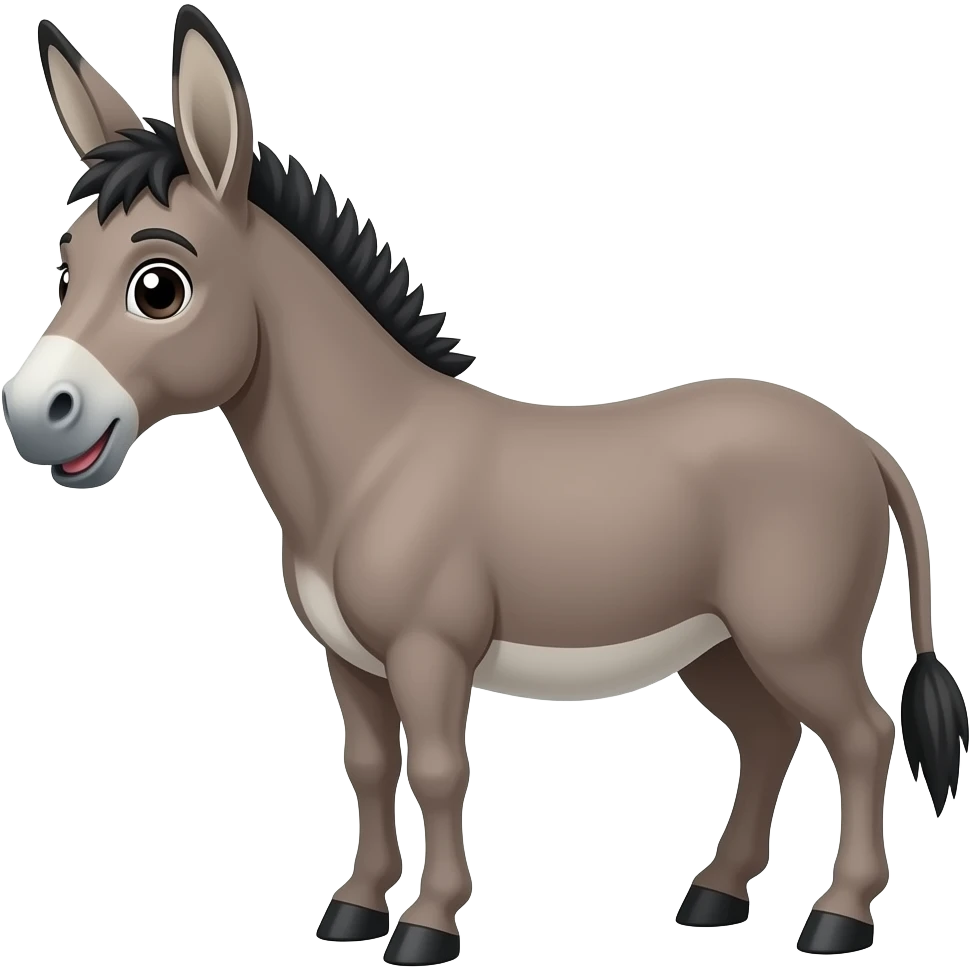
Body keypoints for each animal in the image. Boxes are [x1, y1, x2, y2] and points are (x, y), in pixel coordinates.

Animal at [6, 9, 965, 965]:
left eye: (158, 287)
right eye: (64, 267)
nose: (32, 414)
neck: (377, 460)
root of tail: (860, 442)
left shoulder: (429, 650)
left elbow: (437, 771)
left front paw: (426, 927)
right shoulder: (350, 659)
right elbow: (368, 766)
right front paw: (353, 909)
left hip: (795, 639)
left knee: (863, 736)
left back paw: (838, 917)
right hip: (719, 643)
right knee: (771, 738)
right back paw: (715, 897)